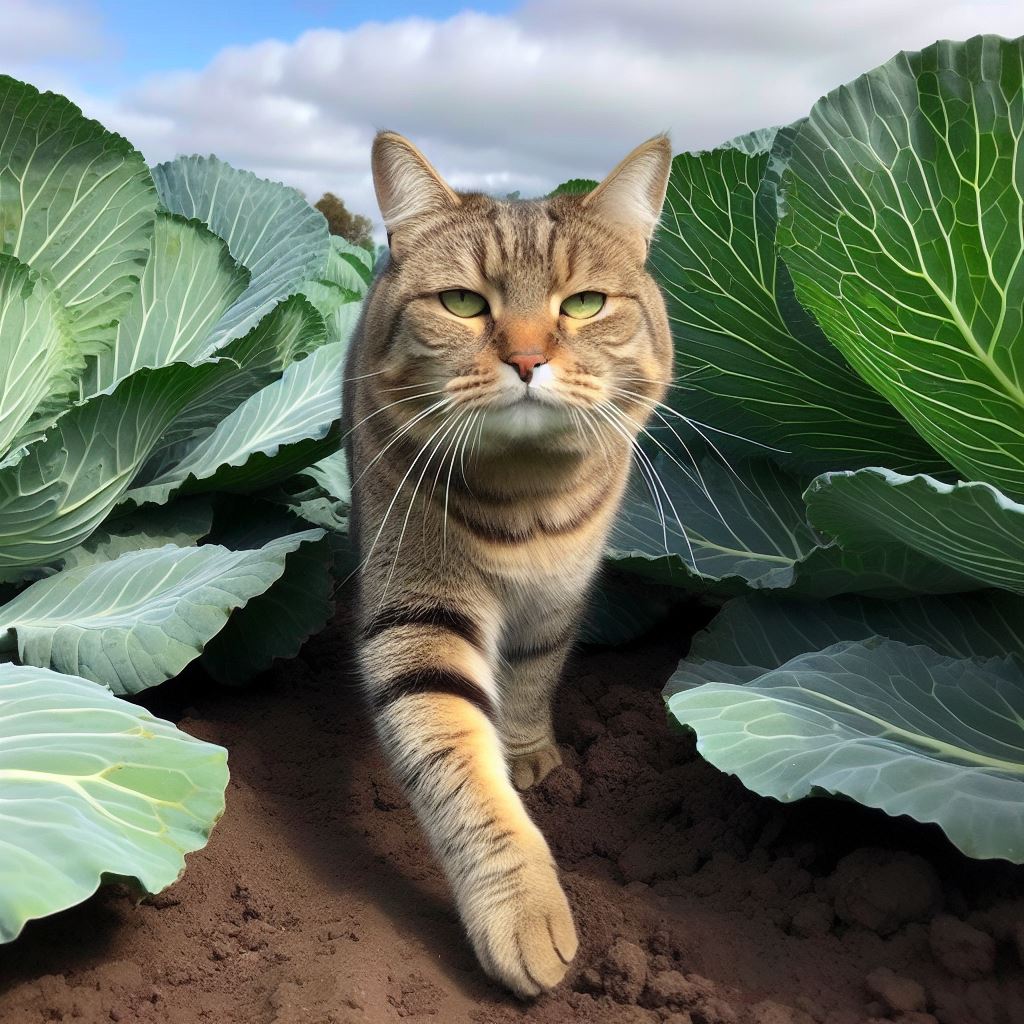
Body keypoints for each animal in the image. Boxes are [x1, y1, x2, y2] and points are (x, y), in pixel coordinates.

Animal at [344, 132, 671, 995]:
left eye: (584, 304)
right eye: (463, 303)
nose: (527, 358)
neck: (527, 499)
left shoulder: (561, 591)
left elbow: (532, 671)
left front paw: (526, 752)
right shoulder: (416, 616)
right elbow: (457, 761)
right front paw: (524, 908)